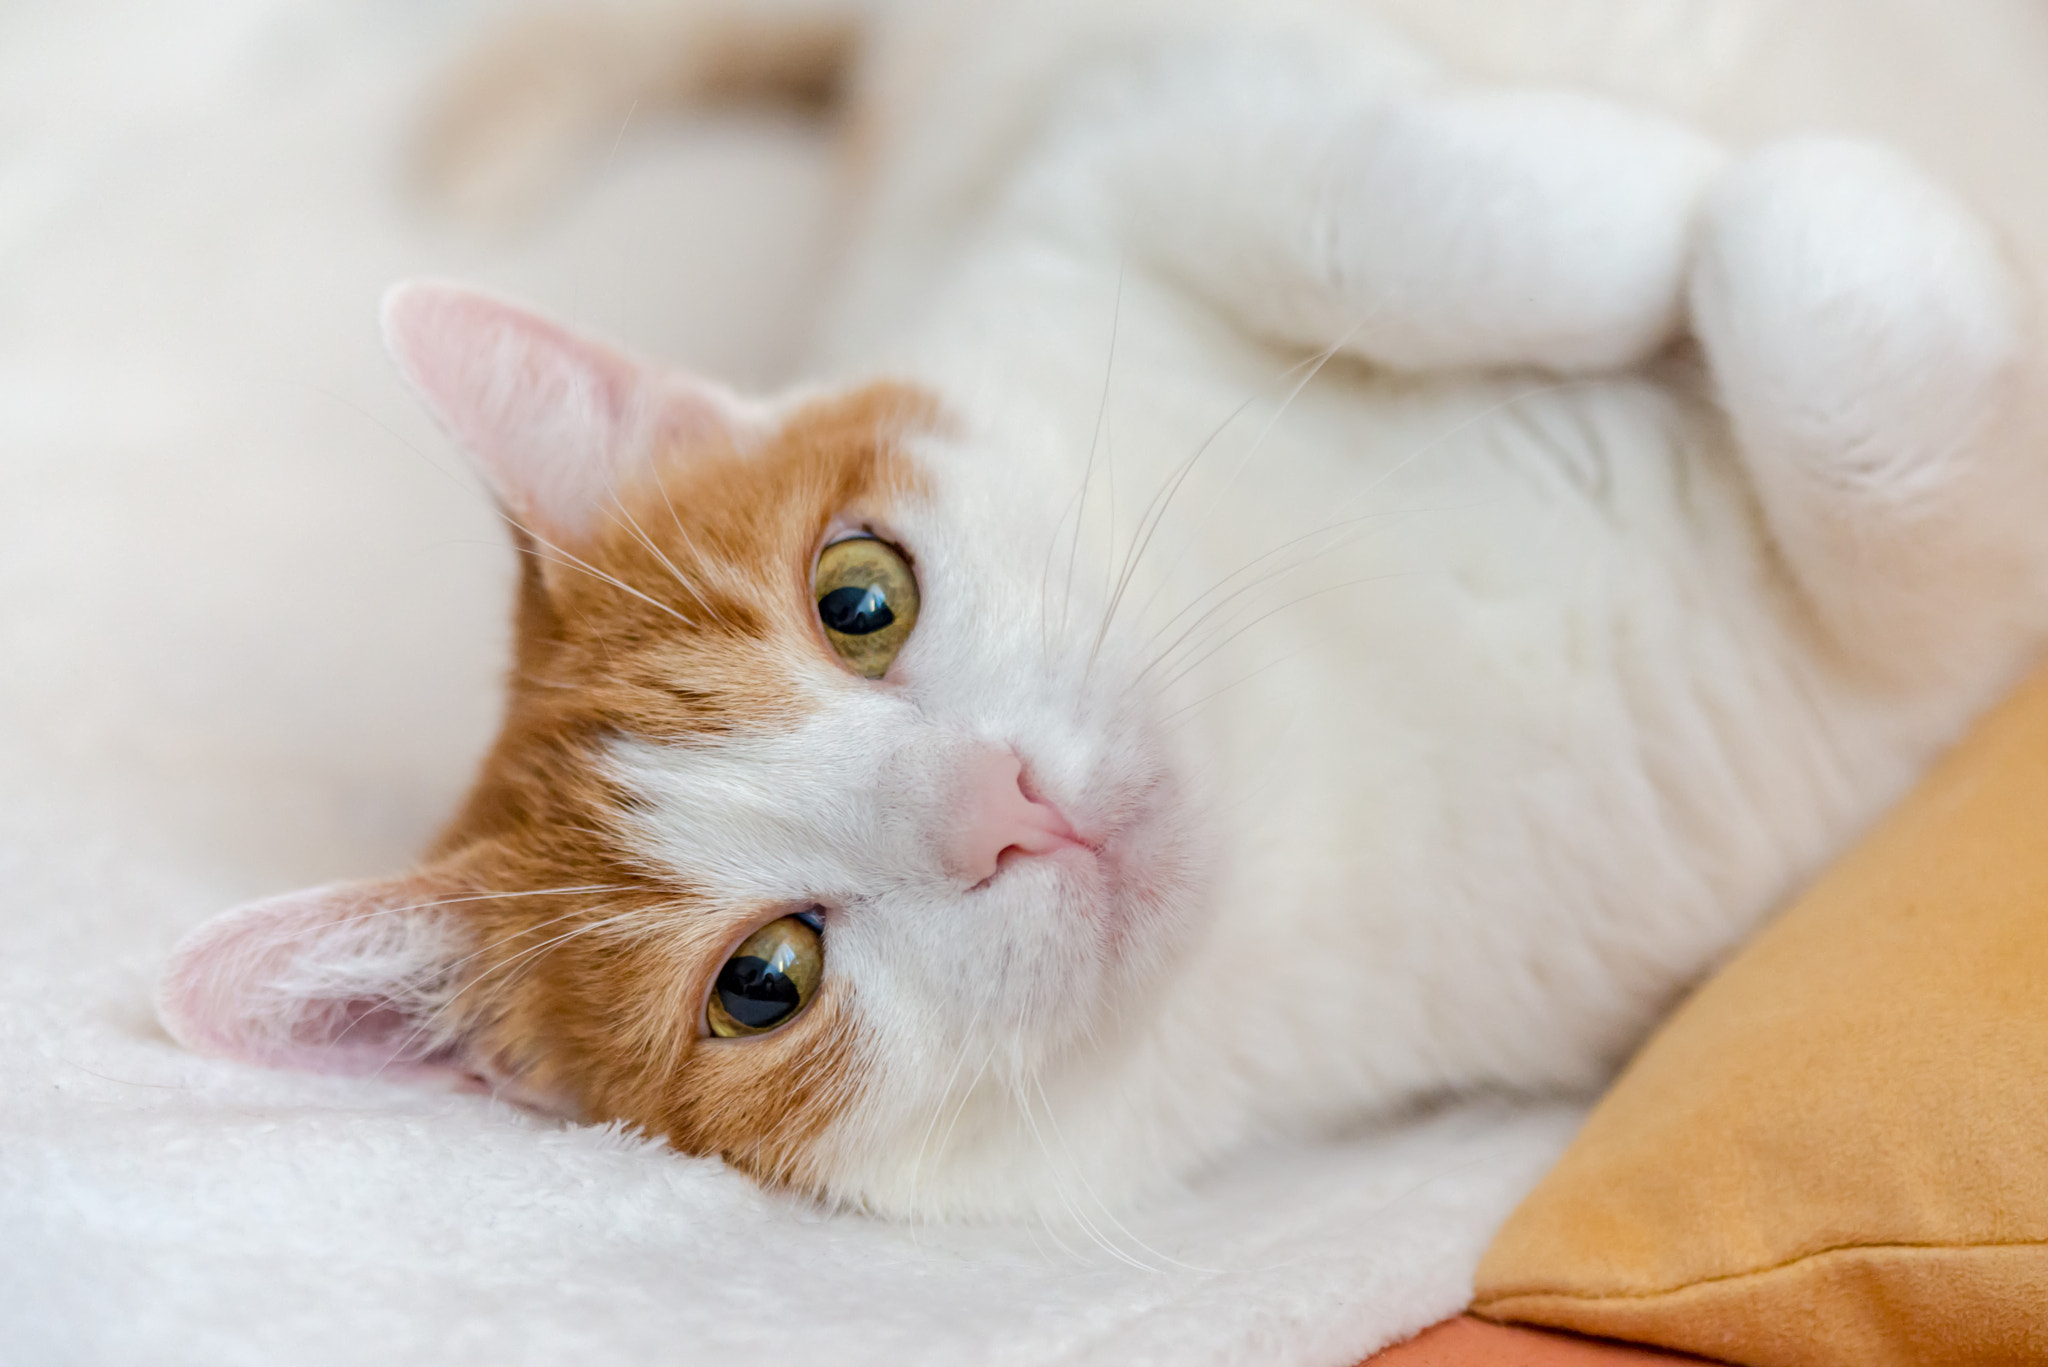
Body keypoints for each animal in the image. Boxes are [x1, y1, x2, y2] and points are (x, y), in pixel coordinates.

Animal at [155, 0, 2048, 1221]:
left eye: (858, 595)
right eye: (764, 980)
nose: (1002, 807)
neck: (1330, 718)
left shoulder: (1137, 119)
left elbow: (1372, 192)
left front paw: (1655, 210)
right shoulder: (1884, 686)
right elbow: (1846, 349)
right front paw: (1785, 217)